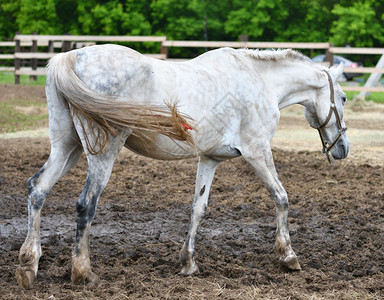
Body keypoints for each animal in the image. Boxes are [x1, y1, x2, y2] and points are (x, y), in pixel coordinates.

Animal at [15, 44, 348, 288]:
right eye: (343, 98)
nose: (343, 149)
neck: (259, 79)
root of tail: (72, 57)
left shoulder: (210, 158)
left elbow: (198, 209)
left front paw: (187, 262)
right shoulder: (257, 151)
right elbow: (281, 198)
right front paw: (289, 257)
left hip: (67, 148)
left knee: (37, 189)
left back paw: (29, 264)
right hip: (102, 154)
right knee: (85, 204)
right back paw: (83, 272)